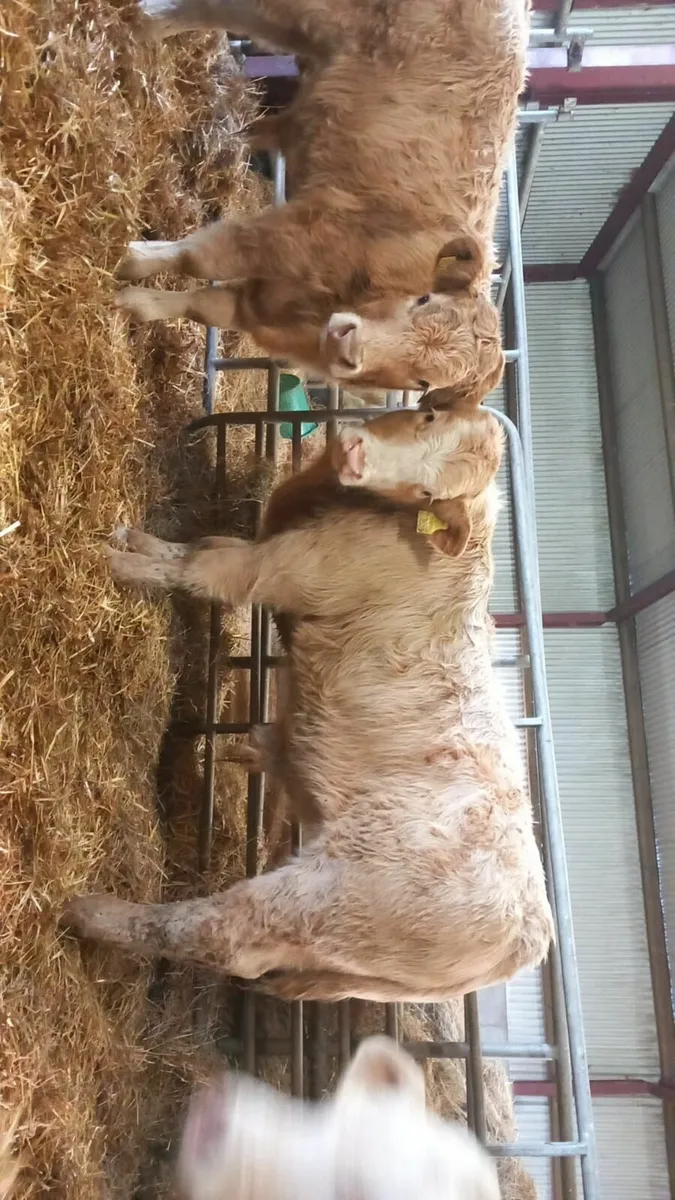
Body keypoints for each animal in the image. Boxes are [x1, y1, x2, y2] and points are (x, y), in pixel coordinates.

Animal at [61, 398, 554, 1002]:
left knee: (222, 934)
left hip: (326, 898)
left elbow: (199, 567)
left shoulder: (279, 568)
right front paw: (137, 539)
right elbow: (202, 545)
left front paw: (115, 560)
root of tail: (528, 938)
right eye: (430, 416)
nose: (356, 454)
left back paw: (90, 911)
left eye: (430, 495)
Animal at [113, 0, 529, 401]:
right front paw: (129, 258)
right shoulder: (303, 231)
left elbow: (202, 304)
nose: (348, 344)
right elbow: (199, 257)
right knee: (220, 8)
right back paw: (145, 23)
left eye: (424, 383)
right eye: (423, 300)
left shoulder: (261, 303)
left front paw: (133, 302)